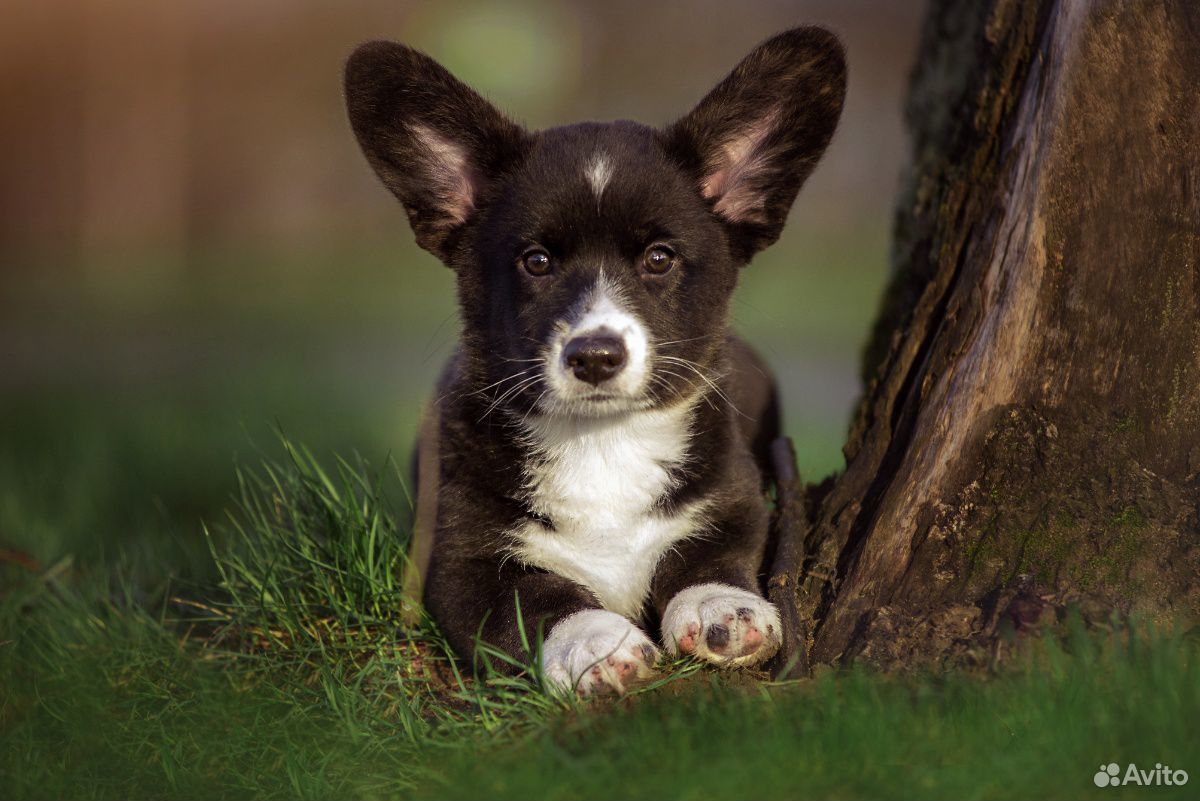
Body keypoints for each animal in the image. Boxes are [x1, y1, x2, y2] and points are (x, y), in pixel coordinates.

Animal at [343, 26, 849, 695]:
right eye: (536, 261)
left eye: (659, 258)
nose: (596, 356)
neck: (604, 441)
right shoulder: (461, 561)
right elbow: (537, 599)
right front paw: (598, 645)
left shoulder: (733, 501)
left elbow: (708, 555)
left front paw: (722, 609)